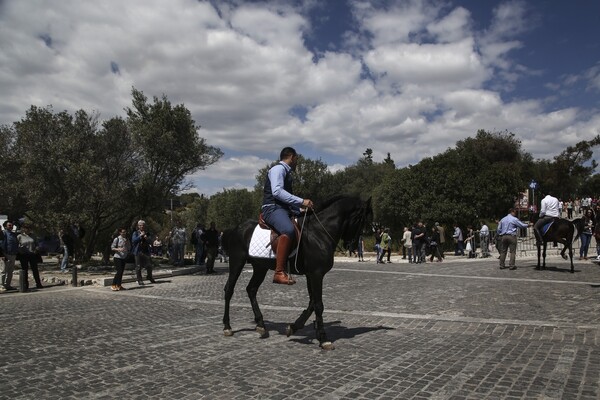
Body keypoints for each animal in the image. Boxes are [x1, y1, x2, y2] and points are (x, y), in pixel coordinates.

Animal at [220, 196, 370, 350]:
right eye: (362, 220)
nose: (352, 246)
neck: (319, 233)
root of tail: (235, 228)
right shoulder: (316, 274)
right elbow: (318, 305)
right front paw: (323, 338)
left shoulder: (311, 275)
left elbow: (312, 303)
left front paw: (295, 327)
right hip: (237, 262)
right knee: (229, 290)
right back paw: (227, 326)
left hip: (260, 267)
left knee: (251, 289)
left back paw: (261, 325)